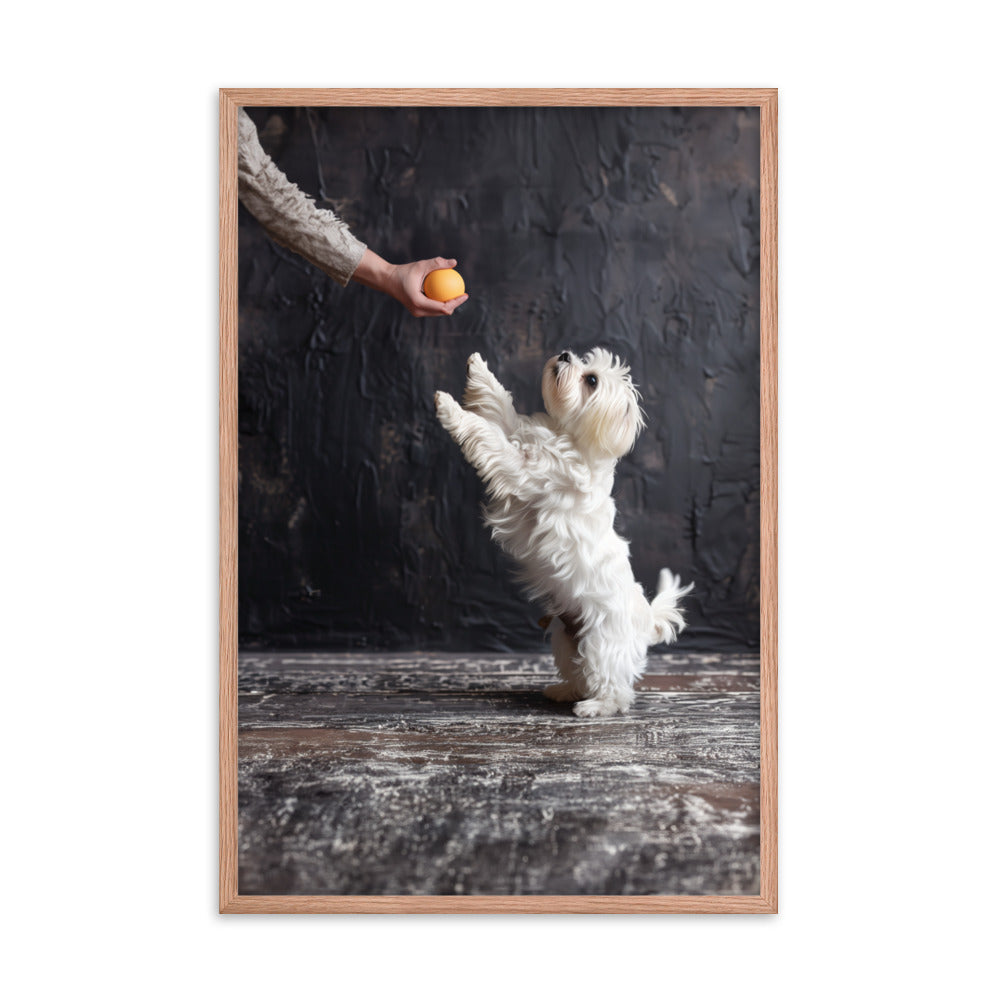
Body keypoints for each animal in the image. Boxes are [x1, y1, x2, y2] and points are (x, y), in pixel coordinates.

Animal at [434, 348, 692, 716]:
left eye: (591, 380)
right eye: (585, 360)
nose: (566, 354)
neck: (568, 436)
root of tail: (646, 619)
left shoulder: (518, 466)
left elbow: (487, 433)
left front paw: (449, 407)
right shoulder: (519, 435)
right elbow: (499, 406)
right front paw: (479, 369)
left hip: (602, 644)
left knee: (616, 689)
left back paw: (594, 707)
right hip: (565, 640)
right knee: (579, 673)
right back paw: (564, 691)